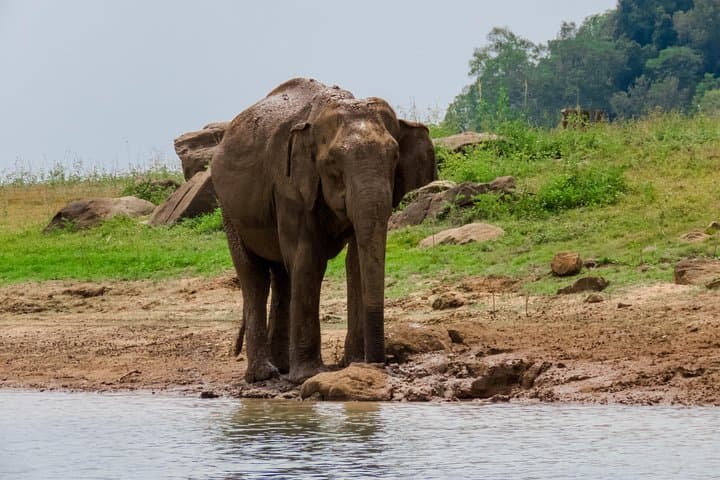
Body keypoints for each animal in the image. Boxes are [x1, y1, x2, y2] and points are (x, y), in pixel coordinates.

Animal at [212, 78, 437, 383]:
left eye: (394, 157)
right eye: (333, 163)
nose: (380, 363)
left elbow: (354, 262)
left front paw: (353, 363)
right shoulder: (288, 185)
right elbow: (308, 258)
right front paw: (309, 375)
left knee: (282, 274)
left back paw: (282, 368)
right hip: (230, 212)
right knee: (255, 276)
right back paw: (264, 375)